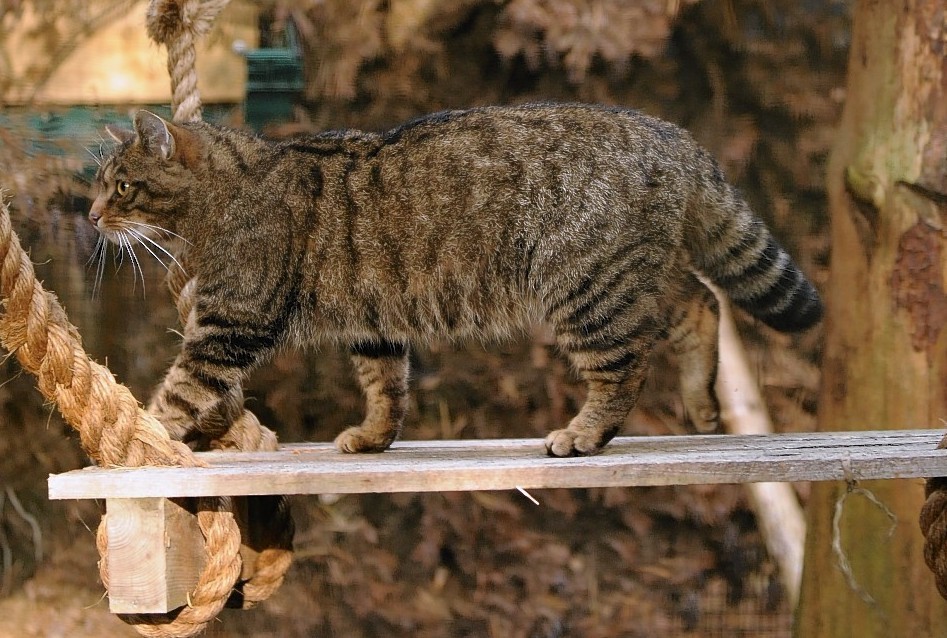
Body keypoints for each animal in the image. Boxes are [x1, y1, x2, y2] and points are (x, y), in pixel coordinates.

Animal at [92, 104, 824, 456]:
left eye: (121, 186)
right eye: (101, 187)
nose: (92, 214)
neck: (230, 188)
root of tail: (670, 132)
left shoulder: (229, 323)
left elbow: (179, 391)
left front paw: (136, 444)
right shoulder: (373, 323)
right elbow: (385, 388)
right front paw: (375, 437)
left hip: (586, 290)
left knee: (624, 372)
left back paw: (584, 434)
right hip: (630, 276)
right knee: (700, 303)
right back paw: (702, 402)